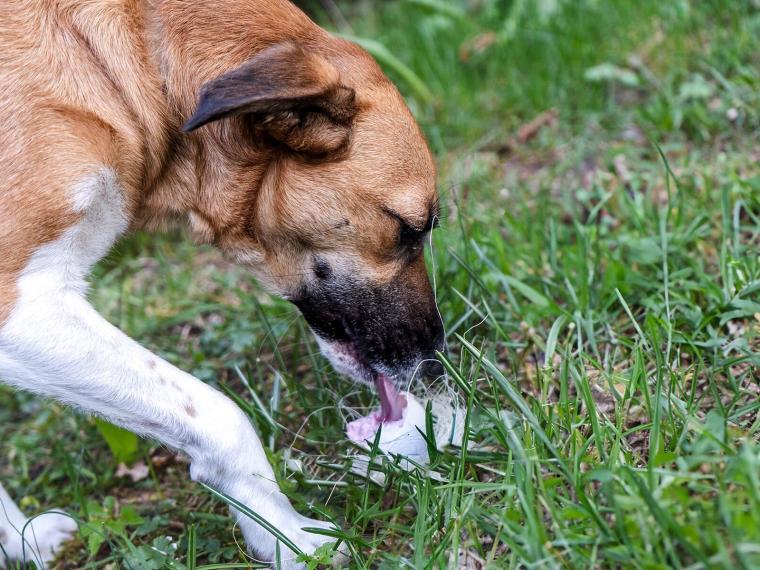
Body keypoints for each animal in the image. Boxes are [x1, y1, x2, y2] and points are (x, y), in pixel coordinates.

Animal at [0, 0, 442, 564]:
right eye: (409, 228)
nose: (435, 357)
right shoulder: (23, 307)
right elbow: (222, 418)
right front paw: (290, 539)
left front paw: (18, 538)